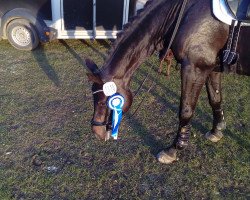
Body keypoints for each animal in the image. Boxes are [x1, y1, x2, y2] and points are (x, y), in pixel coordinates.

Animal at [85, 0, 249, 164]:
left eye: (102, 102)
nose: (96, 132)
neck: (181, 14)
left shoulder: (194, 68)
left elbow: (186, 111)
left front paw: (174, 149)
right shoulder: (213, 68)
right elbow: (215, 99)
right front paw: (216, 130)